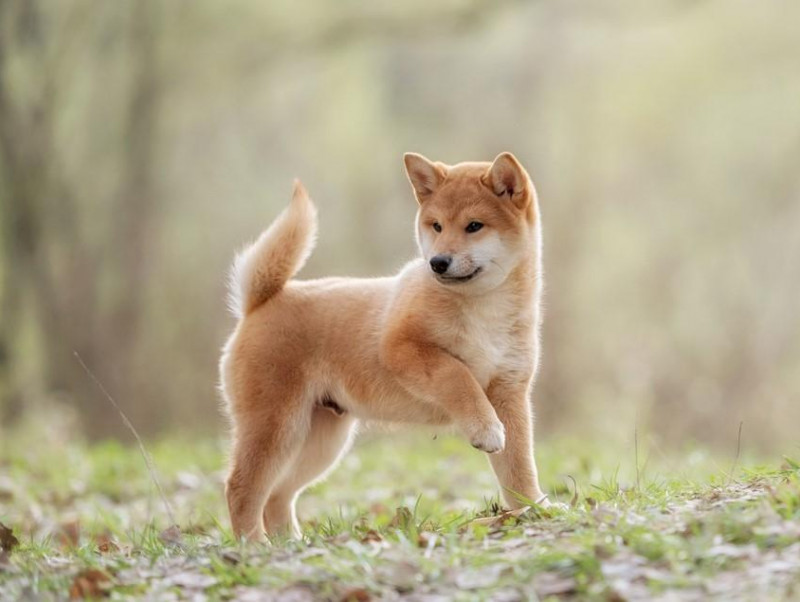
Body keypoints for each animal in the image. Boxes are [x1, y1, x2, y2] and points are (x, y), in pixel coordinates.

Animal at [223, 151, 552, 540]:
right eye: (436, 226)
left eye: (474, 226)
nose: (437, 262)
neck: (484, 307)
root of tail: (259, 303)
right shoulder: (401, 347)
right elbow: (457, 375)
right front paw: (485, 429)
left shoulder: (509, 391)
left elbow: (518, 468)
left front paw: (535, 508)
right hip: (275, 426)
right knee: (242, 488)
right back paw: (253, 544)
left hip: (319, 440)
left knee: (277, 495)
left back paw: (289, 543)